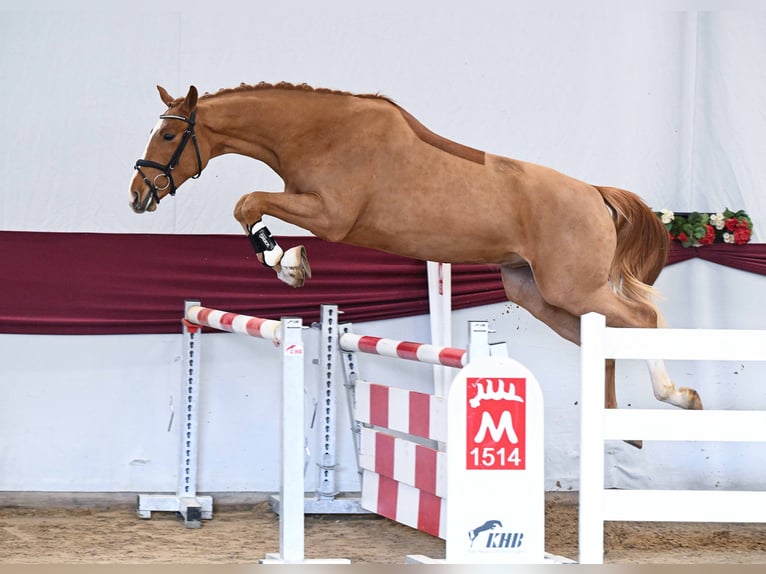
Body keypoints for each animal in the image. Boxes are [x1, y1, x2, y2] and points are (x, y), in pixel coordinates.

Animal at [129, 82, 703, 430]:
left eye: (171, 133)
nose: (138, 195)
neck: (318, 131)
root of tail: (595, 194)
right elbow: (246, 206)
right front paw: (287, 263)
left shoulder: (330, 216)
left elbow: (247, 202)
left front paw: (286, 264)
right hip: (538, 295)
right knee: (607, 336)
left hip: (573, 287)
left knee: (642, 319)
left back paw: (678, 397)